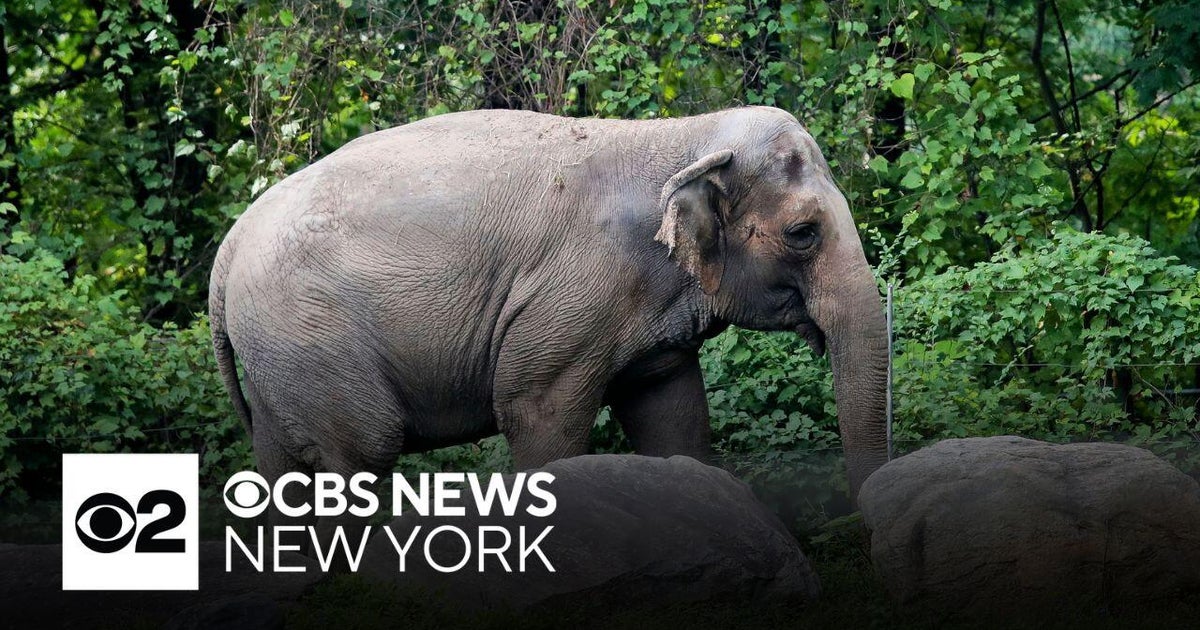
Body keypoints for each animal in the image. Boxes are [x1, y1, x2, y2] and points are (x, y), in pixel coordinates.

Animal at [209, 106, 888, 509]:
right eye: (803, 233)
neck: (681, 134)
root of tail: (228, 248)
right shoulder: (572, 299)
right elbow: (538, 414)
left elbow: (673, 415)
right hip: (310, 338)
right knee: (359, 453)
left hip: (280, 357)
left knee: (281, 462)